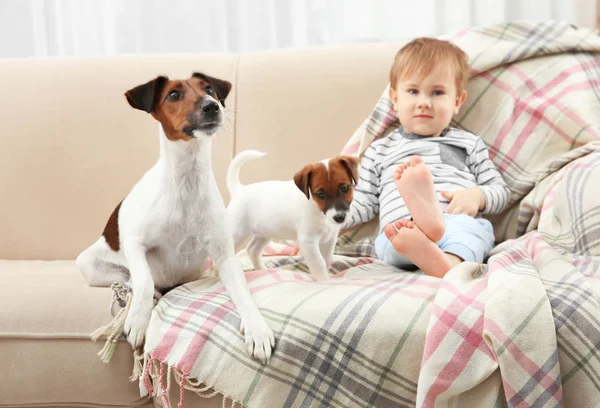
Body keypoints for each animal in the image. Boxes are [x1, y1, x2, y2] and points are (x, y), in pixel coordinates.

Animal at [75, 73, 274, 364]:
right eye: (173, 95)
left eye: (210, 89)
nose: (213, 106)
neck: (187, 180)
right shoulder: (134, 243)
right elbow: (145, 281)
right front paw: (137, 321)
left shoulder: (225, 257)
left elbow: (244, 294)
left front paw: (257, 329)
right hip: (90, 266)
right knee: (131, 280)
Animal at [225, 151, 356, 282]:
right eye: (320, 194)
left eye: (344, 188)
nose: (339, 217)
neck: (319, 211)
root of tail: (240, 189)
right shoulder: (308, 241)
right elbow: (319, 262)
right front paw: (323, 280)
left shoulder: (329, 240)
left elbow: (327, 259)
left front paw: (326, 276)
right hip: (238, 233)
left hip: (264, 233)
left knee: (252, 250)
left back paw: (262, 270)